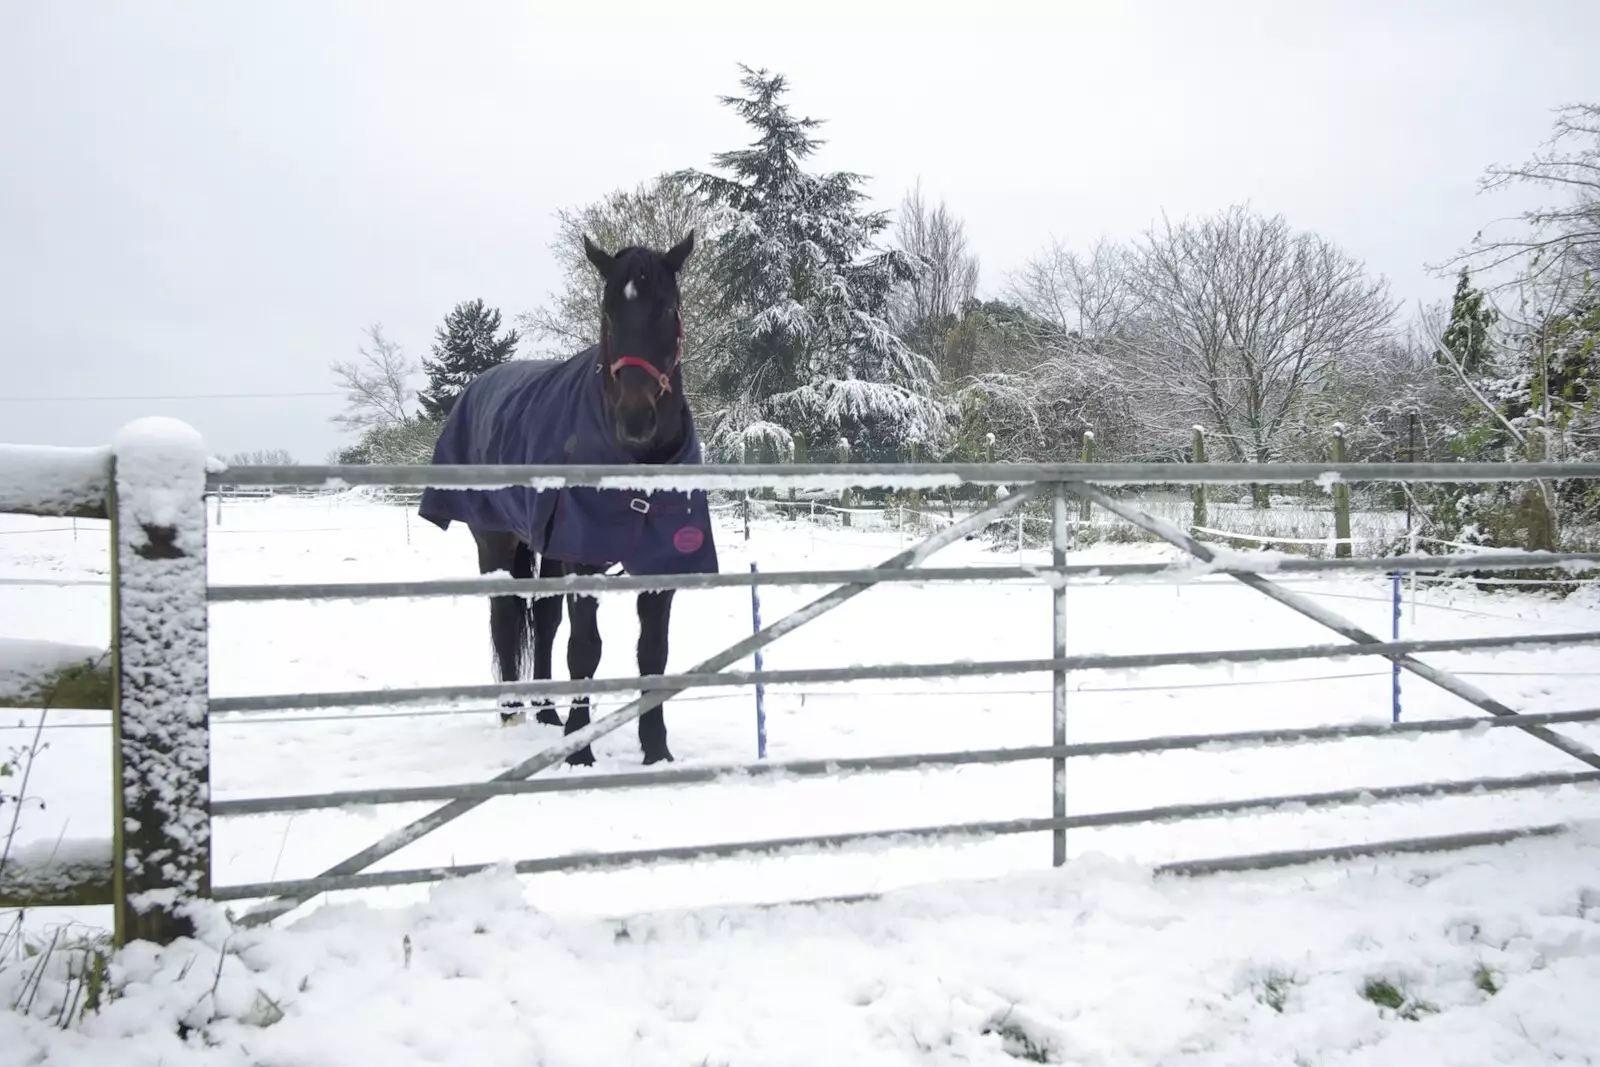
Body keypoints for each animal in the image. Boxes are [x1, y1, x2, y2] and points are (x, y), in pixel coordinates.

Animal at [416, 233, 716, 767]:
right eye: (608, 313)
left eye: (668, 309)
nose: (635, 419)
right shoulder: (584, 561)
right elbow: (585, 649)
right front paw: (580, 750)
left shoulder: (659, 565)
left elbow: (652, 653)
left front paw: (655, 749)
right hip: (498, 543)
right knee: (506, 615)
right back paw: (513, 713)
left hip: (550, 547)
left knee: (545, 619)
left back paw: (546, 712)